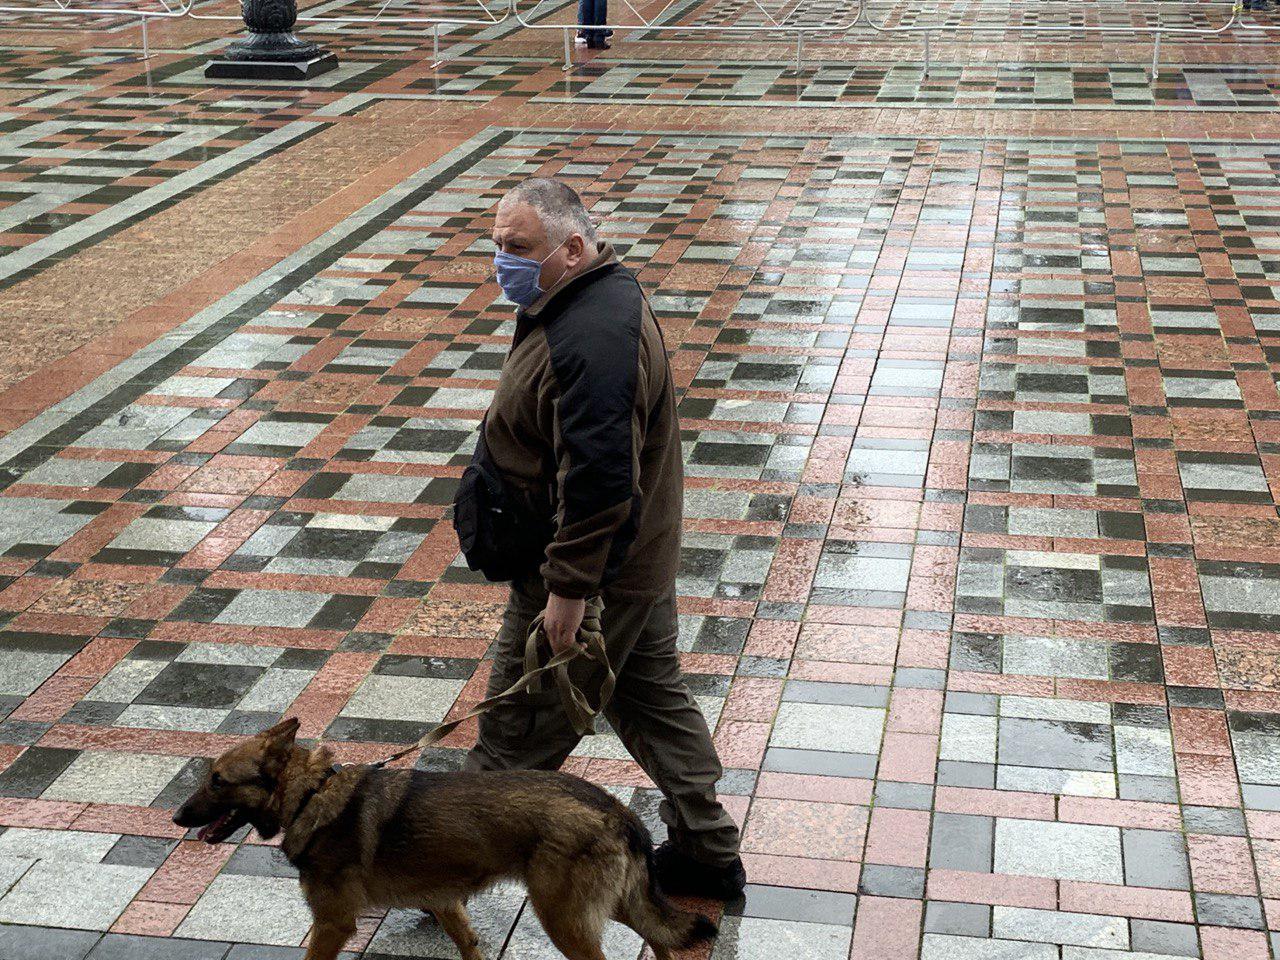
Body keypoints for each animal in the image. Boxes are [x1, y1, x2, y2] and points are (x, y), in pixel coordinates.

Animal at [172, 721, 721, 960]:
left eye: (217, 781)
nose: (177, 816)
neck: (313, 794)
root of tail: (617, 808)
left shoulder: (332, 924)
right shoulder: (448, 903)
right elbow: (469, 946)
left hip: (565, 919)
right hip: (617, 905)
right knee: (662, 939)